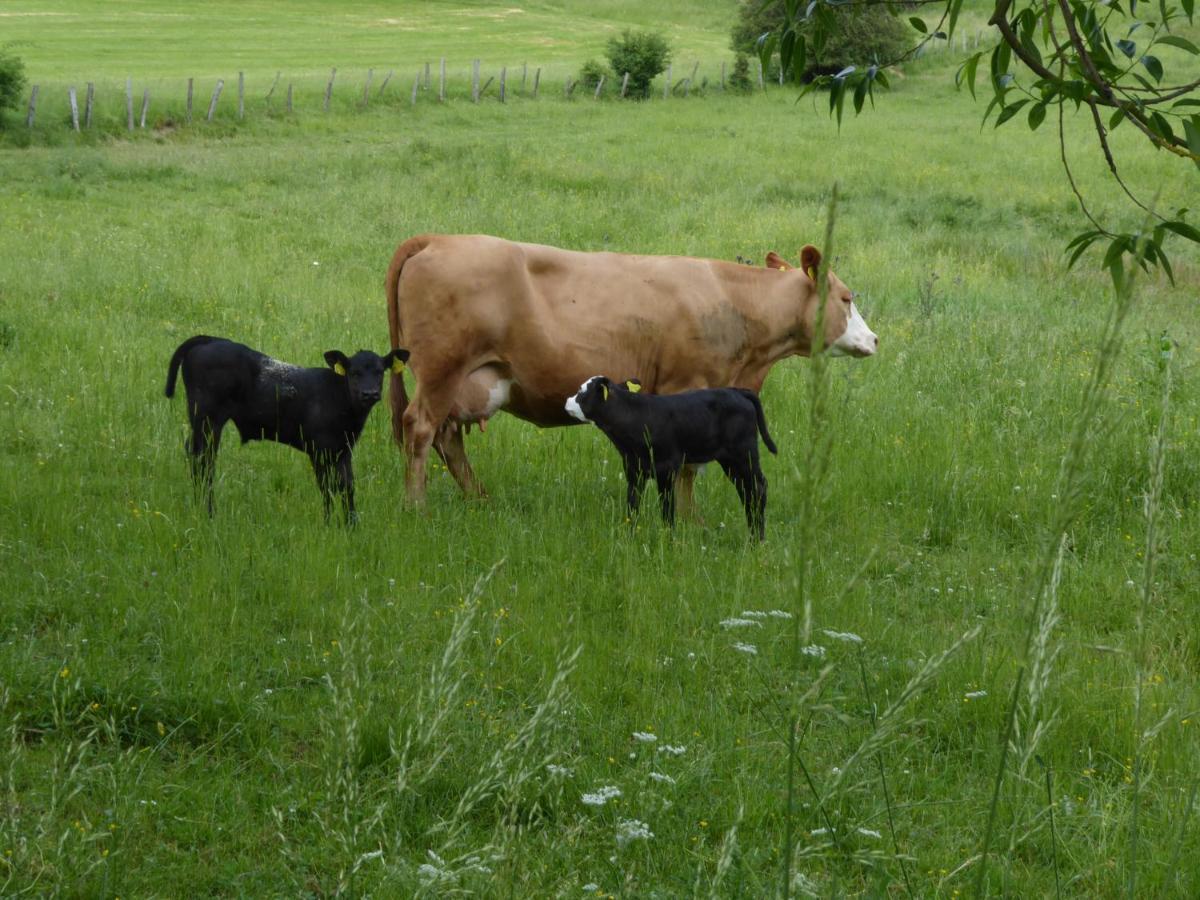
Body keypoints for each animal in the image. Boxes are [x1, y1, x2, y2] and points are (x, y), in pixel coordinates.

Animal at [164, 336, 410, 525]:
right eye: (355, 373)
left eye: (380, 372)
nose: (370, 393)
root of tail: (210, 339)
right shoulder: (318, 449)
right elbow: (327, 487)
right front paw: (329, 523)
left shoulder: (343, 449)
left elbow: (346, 486)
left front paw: (352, 525)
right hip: (207, 419)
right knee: (203, 461)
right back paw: (209, 512)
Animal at [388, 236, 878, 508]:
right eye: (847, 298)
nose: (874, 339)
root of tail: (437, 238)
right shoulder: (687, 387)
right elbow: (686, 471)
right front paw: (691, 523)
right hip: (442, 369)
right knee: (420, 430)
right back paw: (416, 508)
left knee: (447, 439)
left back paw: (479, 500)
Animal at [564, 376, 777, 540]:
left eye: (581, 392)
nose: (566, 401)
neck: (636, 417)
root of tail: (738, 392)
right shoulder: (634, 470)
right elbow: (632, 505)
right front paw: (630, 536)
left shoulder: (666, 470)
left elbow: (667, 508)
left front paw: (669, 539)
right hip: (732, 461)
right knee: (746, 491)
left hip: (743, 454)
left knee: (757, 488)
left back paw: (757, 539)